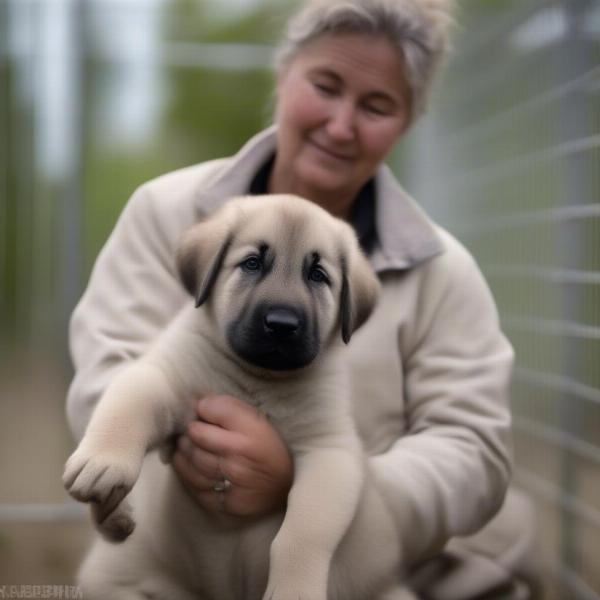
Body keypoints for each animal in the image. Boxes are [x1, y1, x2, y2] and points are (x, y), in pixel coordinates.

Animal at [62, 195, 408, 596]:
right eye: (252, 263)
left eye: (318, 275)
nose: (282, 324)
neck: (257, 380)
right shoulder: (164, 381)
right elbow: (127, 407)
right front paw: (104, 467)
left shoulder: (328, 451)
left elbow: (303, 533)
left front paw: (294, 589)